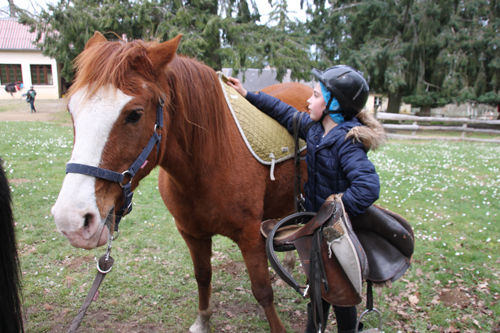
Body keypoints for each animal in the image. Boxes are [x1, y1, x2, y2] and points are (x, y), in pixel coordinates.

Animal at [51, 32, 308, 330]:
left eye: (135, 114)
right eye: (71, 110)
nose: (71, 220)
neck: (209, 162)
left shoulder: (250, 235)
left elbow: (262, 290)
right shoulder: (191, 233)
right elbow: (203, 276)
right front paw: (203, 319)